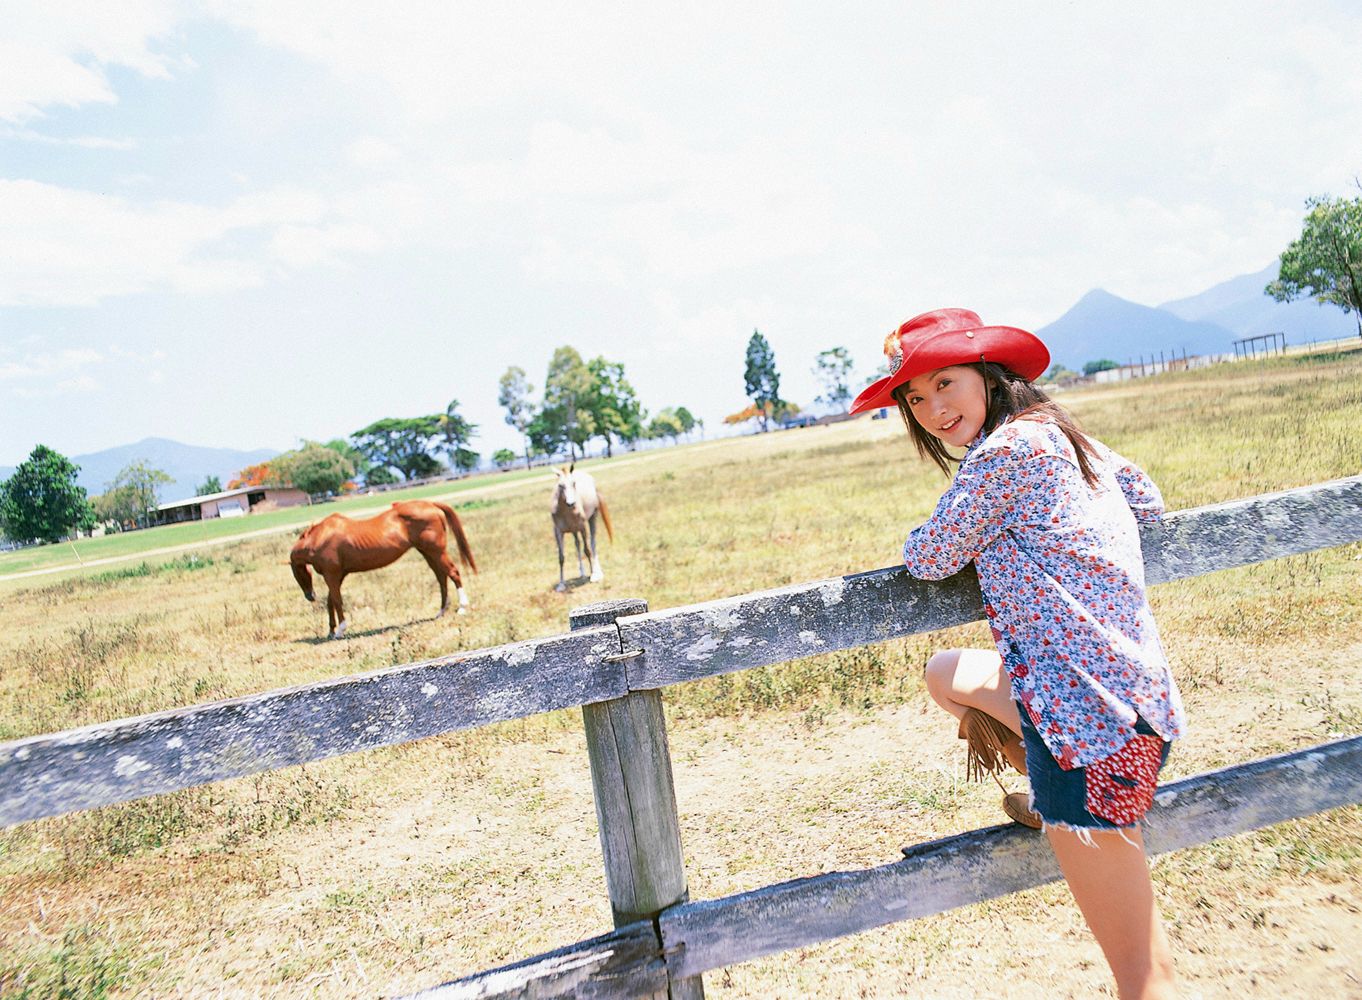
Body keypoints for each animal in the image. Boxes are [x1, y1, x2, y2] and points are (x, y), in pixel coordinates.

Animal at [290, 501, 476, 643]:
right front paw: (331, 631)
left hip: (436, 551)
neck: (320, 537)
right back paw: (441, 610)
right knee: (441, 576)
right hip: (428, 553)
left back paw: (462, 607)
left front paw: (340, 630)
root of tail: (431, 504)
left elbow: (336, 601)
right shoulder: (338, 575)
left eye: (298, 573)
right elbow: (330, 602)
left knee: (453, 573)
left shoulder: (332, 575)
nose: (310, 596)